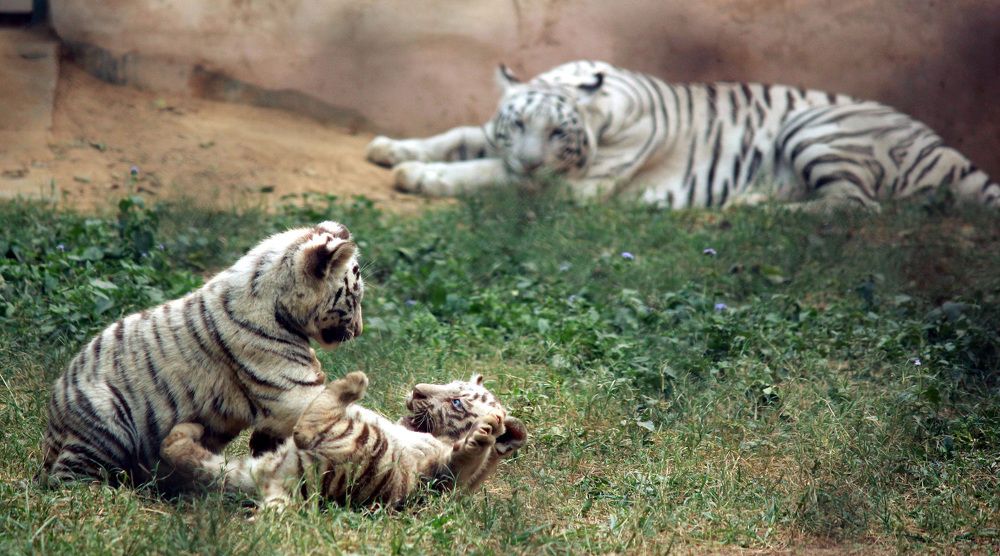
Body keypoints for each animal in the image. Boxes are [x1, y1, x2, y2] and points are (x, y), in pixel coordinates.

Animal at [38, 221, 365, 489]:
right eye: (355, 297)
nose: (359, 331)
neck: (279, 303)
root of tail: (51, 429)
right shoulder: (292, 393)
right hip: (106, 415)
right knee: (68, 478)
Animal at [159, 371, 527, 510]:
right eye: (446, 384)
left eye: (457, 403)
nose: (418, 391)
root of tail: (272, 480)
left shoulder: (440, 479)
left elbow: (465, 459)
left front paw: (484, 432)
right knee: (175, 447)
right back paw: (191, 429)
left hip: (361, 445)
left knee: (308, 428)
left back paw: (352, 381)